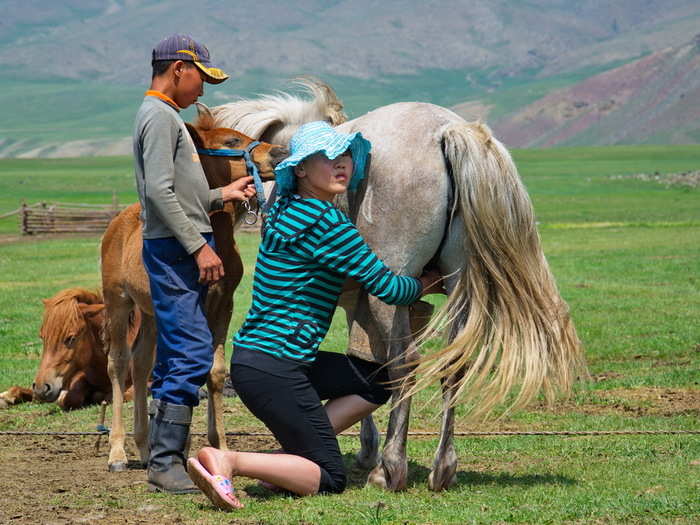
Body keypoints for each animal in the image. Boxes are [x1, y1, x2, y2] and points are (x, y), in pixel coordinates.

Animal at [100, 112, 286, 472]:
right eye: (232, 141)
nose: (280, 152)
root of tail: (118, 222)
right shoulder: (190, 306)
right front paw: (180, 448)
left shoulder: (223, 304)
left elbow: (214, 371)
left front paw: (219, 447)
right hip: (117, 301)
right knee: (118, 363)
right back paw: (117, 452)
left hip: (151, 313)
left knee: (141, 364)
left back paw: (145, 448)